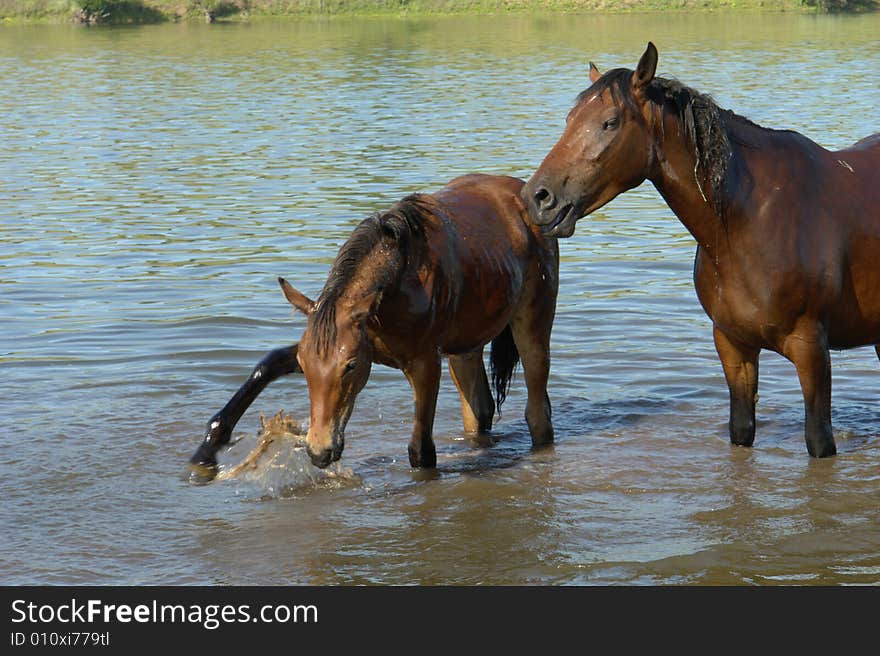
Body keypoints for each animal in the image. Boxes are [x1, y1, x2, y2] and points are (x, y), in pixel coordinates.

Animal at [190, 172, 560, 474]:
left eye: (350, 366)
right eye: (305, 366)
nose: (319, 452)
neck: (399, 278)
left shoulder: (424, 363)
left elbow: (420, 451)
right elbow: (267, 364)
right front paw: (207, 448)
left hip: (532, 327)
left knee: (537, 413)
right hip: (465, 347)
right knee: (479, 411)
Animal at [524, 43, 880, 458]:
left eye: (609, 122)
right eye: (570, 118)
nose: (537, 198)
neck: (748, 220)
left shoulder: (811, 350)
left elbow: (818, 440)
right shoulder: (732, 345)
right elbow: (741, 429)